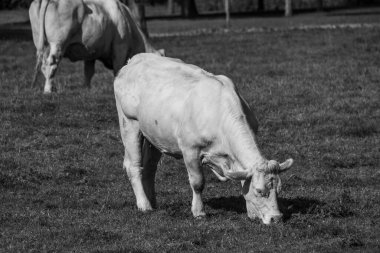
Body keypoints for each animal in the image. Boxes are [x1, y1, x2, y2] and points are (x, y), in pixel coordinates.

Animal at [113, 53, 294, 225]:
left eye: (278, 190)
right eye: (259, 191)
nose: (276, 218)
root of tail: (134, 60)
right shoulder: (190, 150)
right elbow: (198, 182)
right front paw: (199, 212)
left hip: (154, 136)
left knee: (149, 168)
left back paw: (153, 202)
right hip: (129, 124)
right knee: (134, 166)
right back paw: (144, 205)